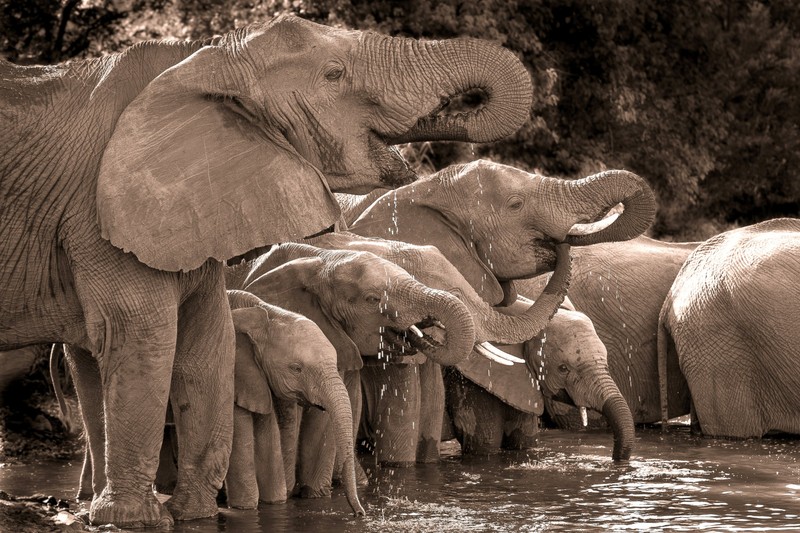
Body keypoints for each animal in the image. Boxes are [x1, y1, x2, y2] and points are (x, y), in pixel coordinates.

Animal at [223, 288, 364, 512]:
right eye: (296, 368)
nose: (360, 513)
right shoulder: (236, 374)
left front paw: (275, 502)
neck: (263, 313)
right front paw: (246, 508)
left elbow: (268, 436)